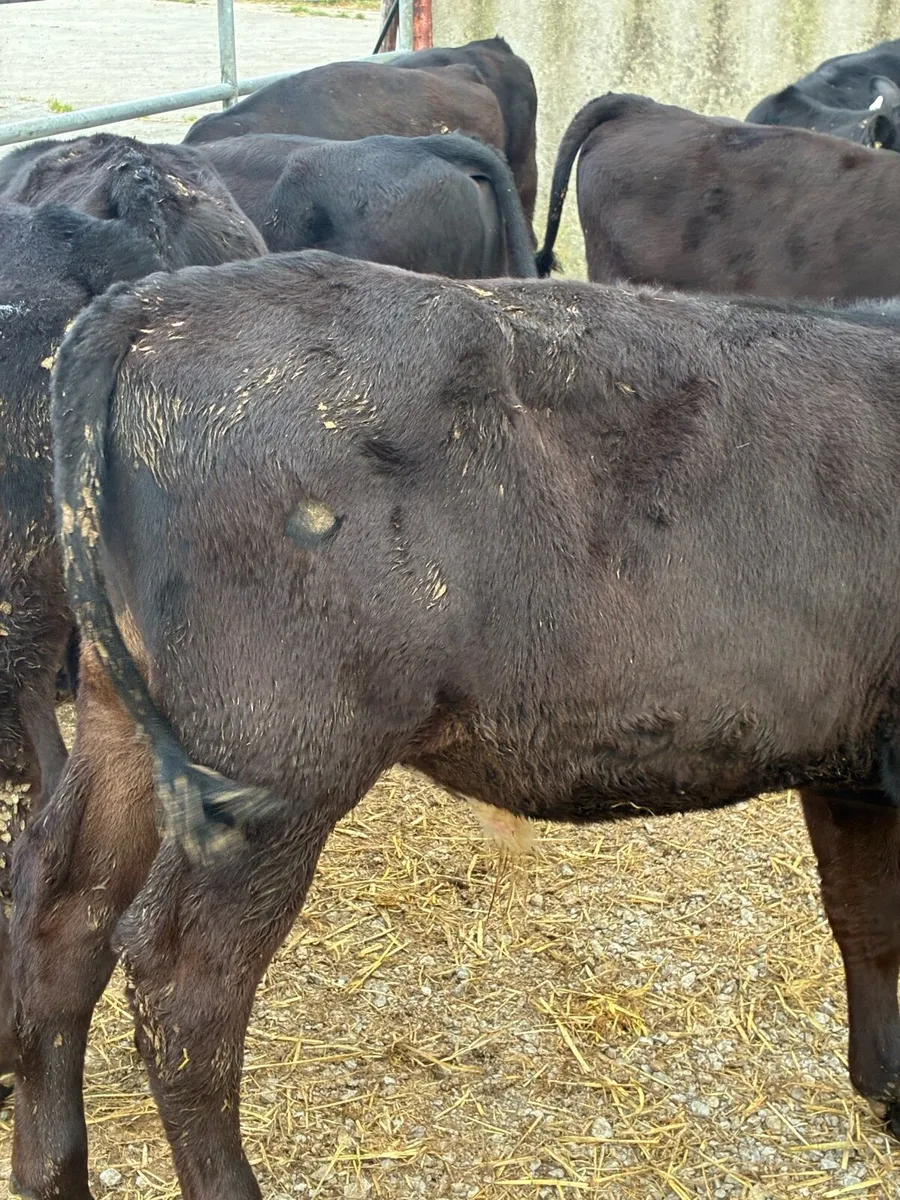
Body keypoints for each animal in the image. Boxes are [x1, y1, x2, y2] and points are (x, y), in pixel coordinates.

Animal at [9, 251, 900, 1198]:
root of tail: (157, 299)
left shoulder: (852, 767)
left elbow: (864, 917)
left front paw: (883, 1086)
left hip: (128, 723)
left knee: (62, 912)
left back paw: (50, 1171)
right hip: (282, 760)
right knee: (183, 983)